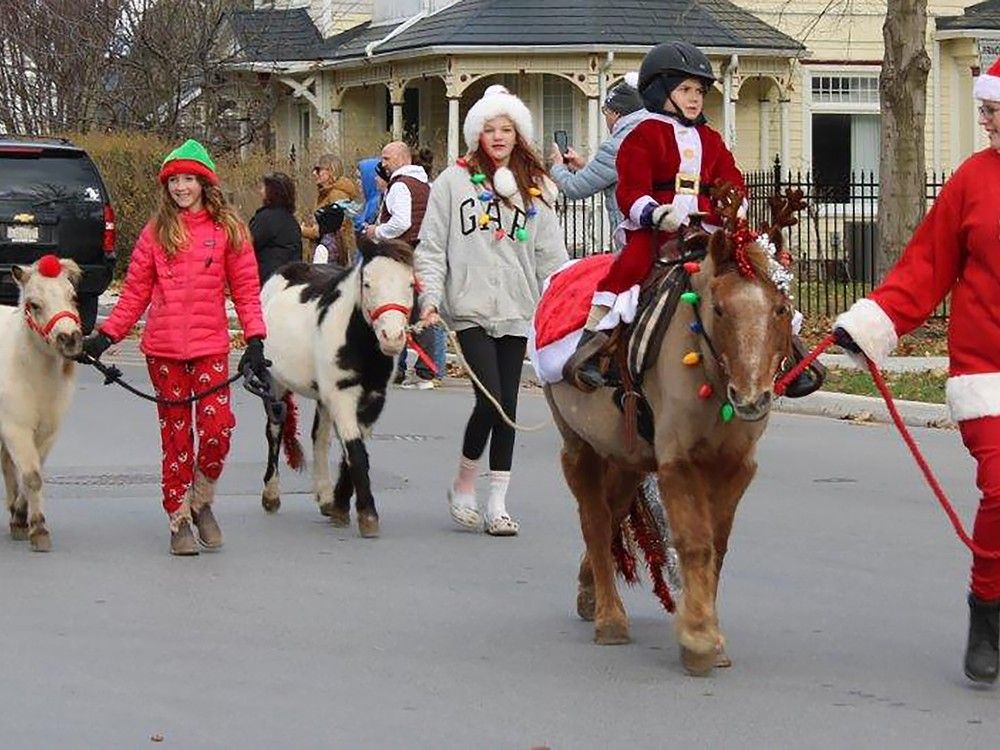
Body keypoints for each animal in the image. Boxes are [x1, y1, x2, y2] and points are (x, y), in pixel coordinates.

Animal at [260, 238, 416, 536]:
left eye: (411, 284)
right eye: (367, 283)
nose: (392, 338)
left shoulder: (373, 399)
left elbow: (350, 451)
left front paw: (340, 505)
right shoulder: (341, 396)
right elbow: (356, 451)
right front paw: (368, 514)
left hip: (324, 395)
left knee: (319, 437)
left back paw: (325, 496)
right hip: (275, 382)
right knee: (274, 431)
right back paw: (271, 495)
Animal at [544, 188, 800, 676]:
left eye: (780, 308)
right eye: (719, 308)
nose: (752, 398)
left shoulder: (736, 466)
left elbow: (717, 546)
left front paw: (710, 636)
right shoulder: (678, 461)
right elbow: (695, 542)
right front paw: (698, 638)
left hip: (625, 457)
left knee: (610, 516)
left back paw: (590, 590)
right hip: (578, 446)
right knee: (595, 519)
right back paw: (609, 617)